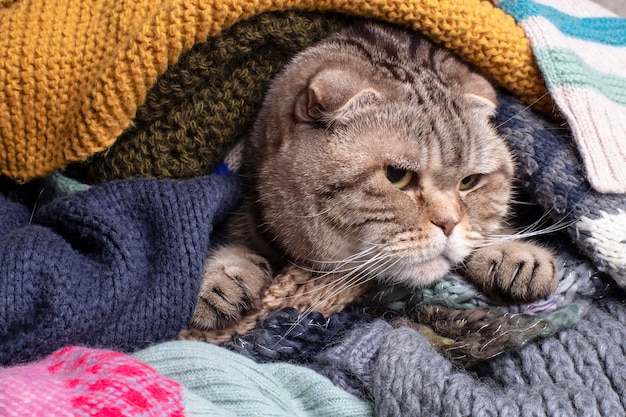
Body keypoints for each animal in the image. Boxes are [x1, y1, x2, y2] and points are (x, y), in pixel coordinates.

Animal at [189, 21, 556, 330]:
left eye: (469, 182)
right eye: (397, 176)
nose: (449, 224)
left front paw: (514, 251)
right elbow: (236, 244)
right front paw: (221, 276)